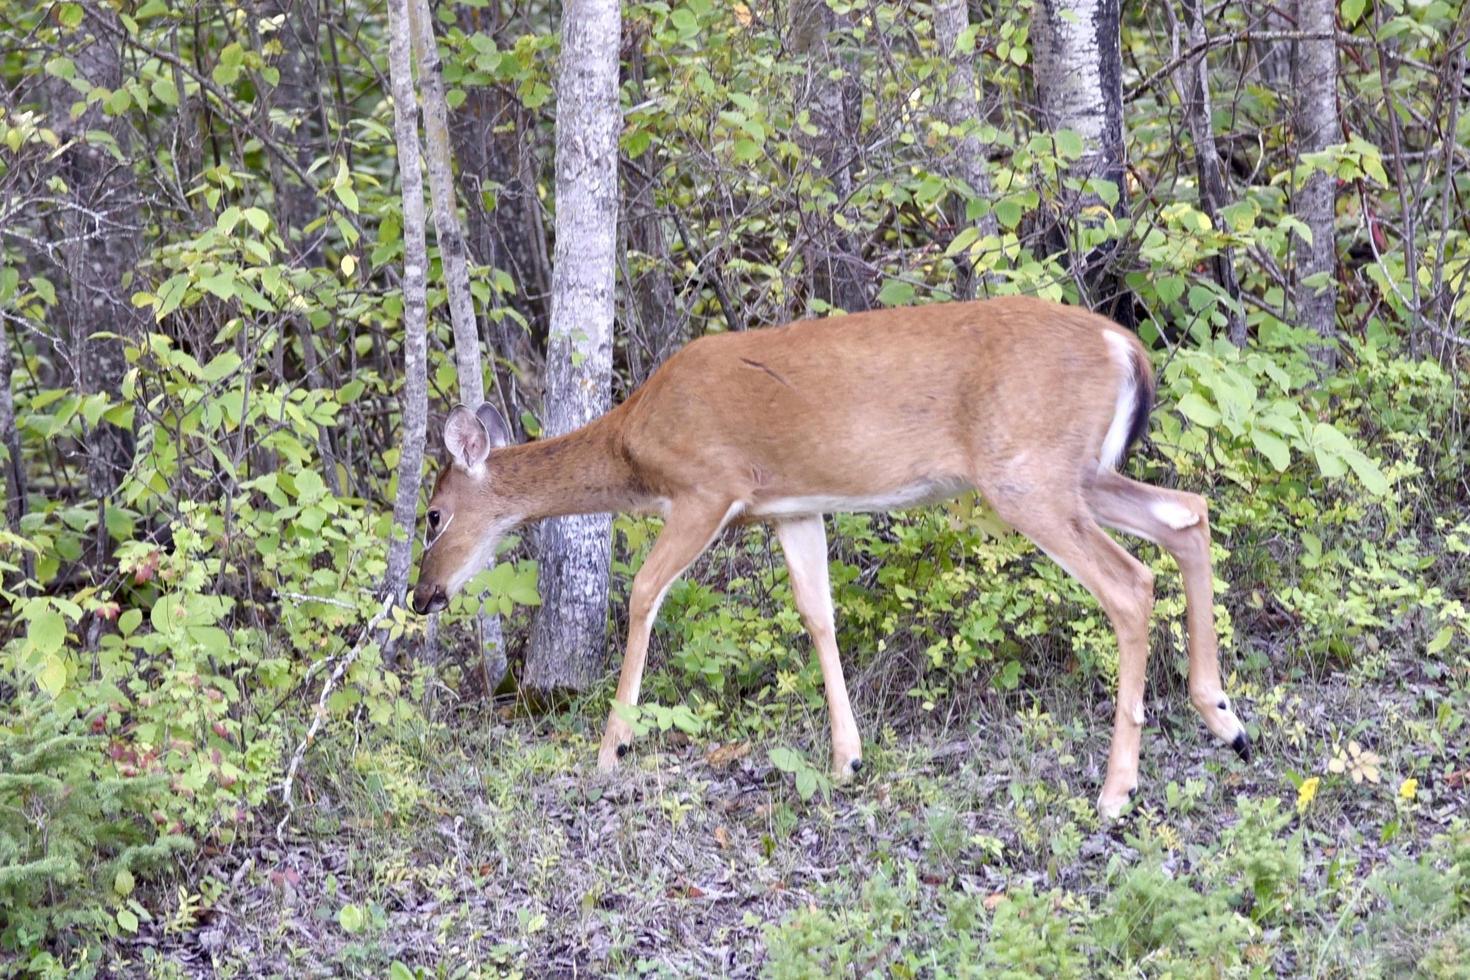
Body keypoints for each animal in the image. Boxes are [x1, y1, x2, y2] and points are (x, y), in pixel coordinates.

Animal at [408, 295, 1246, 816]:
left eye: (434, 515)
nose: (422, 596)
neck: (634, 445)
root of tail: (1124, 346)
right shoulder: (793, 505)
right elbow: (818, 613)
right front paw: (848, 758)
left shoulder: (709, 484)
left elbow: (644, 591)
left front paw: (612, 746)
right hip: (1079, 471)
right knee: (1188, 514)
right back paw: (1225, 719)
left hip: (1028, 472)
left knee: (1130, 581)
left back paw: (1116, 790)